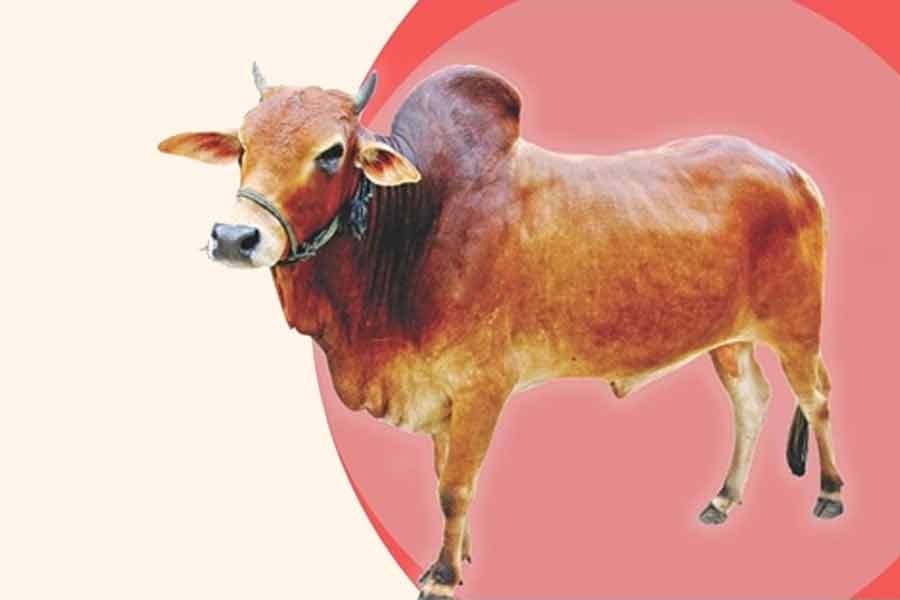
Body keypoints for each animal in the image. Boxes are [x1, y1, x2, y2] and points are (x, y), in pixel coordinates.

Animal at [159, 64, 844, 600]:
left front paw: (441, 574)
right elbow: (443, 479)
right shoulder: (441, 397)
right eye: (242, 145)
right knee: (752, 402)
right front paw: (460, 556)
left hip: (797, 327)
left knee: (816, 398)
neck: (412, 229)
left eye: (331, 152)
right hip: (728, 341)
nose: (235, 237)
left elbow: (455, 486)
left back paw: (831, 492)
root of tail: (793, 171)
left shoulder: (481, 388)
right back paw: (724, 498)